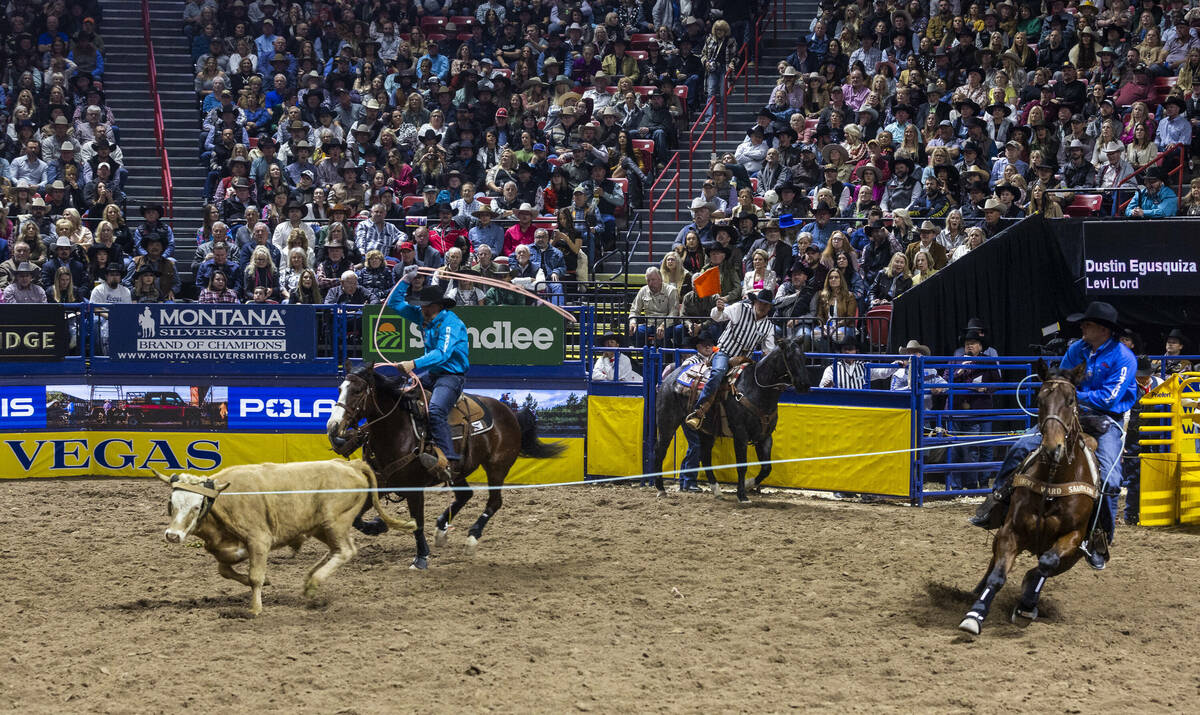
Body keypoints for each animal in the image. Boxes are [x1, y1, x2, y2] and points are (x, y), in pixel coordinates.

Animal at [324, 362, 566, 568]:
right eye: (339, 388)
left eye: (357, 391)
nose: (333, 427)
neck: (397, 430)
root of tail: (511, 413)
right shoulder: (381, 482)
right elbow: (356, 517)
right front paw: (377, 525)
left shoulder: (414, 488)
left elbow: (418, 522)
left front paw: (421, 557)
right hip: (457, 469)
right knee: (465, 495)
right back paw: (441, 529)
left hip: (497, 466)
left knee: (494, 502)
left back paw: (472, 537)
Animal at [652, 335, 811, 499]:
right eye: (789, 357)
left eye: (804, 357)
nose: (805, 384)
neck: (756, 388)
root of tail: (669, 378)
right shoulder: (740, 433)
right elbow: (742, 465)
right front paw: (742, 495)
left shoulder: (765, 436)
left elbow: (766, 468)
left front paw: (748, 484)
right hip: (667, 422)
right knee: (660, 451)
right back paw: (660, 488)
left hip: (706, 430)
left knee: (705, 455)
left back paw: (716, 489)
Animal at [960, 362, 1099, 638]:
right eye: (1040, 399)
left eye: (1070, 400)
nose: (1052, 448)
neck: (1052, 483)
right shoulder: (1010, 530)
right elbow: (997, 575)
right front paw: (975, 614)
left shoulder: (1073, 537)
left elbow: (1046, 564)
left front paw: (1026, 605)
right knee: (994, 563)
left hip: (1074, 556)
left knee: (1044, 567)